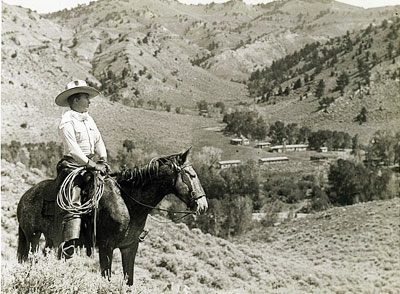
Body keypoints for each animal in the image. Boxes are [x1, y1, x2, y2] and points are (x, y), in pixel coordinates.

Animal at [17, 148, 208, 286]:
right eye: (191, 175)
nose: (203, 205)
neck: (127, 203)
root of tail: (25, 196)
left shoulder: (129, 247)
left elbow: (129, 281)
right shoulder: (106, 247)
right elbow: (106, 278)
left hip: (51, 239)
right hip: (33, 237)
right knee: (30, 260)